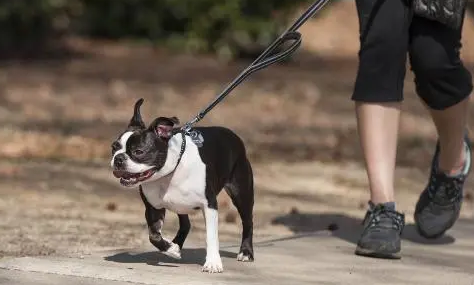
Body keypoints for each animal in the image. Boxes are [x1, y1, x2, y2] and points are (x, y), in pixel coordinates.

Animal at [109, 98, 256, 272]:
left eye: (139, 151)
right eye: (114, 148)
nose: (118, 158)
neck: (169, 173)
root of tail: (233, 135)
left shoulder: (210, 205)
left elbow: (211, 236)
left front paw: (213, 262)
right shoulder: (153, 208)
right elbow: (153, 235)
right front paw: (171, 249)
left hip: (241, 193)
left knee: (248, 221)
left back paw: (246, 252)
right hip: (180, 204)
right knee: (186, 224)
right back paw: (176, 245)